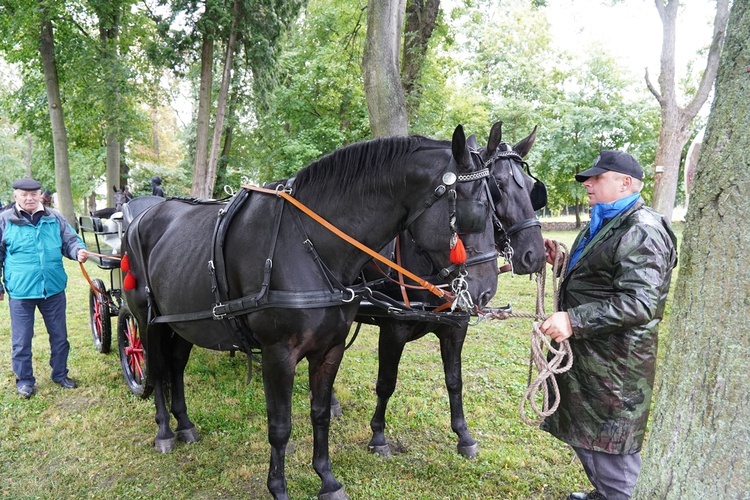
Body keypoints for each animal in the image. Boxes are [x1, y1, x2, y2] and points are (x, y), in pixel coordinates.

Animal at [122, 126, 500, 500]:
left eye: (495, 208)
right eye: (475, 212)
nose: (485, 291)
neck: (307, 243)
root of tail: (141, 217)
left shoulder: (330, 348)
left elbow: (320, 415)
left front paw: (327, 480)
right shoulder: (279, 354)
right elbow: (280, 426)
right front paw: (278, 488)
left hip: (184, 324)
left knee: (175, 367)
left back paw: (184, 424)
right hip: (147, 321)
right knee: (156, 367)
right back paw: (164, 431)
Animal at [356, 120, 548, 458]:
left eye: (529, 186)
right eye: (498, 186)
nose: (535, 256)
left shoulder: (457, 326)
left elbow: (454, 380)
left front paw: (463, 435)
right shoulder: (392, 327)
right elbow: (386, 382)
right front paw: (378, 434)